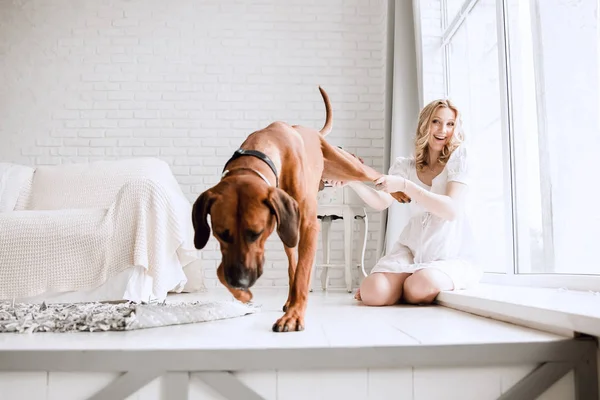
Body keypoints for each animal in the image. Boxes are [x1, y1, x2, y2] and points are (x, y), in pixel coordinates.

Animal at [190, 89, 410, 332]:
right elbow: (223, 272)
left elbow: (303, 272)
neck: (263, 151)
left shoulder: (308, 224)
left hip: (346, 165)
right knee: (291, 264)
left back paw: (399, 190)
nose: (240, 281)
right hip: (290, 228)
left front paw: (294, 316)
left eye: (256, 233)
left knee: (373, 174)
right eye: (220, 234)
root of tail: (309, 130)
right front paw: (243, 295)